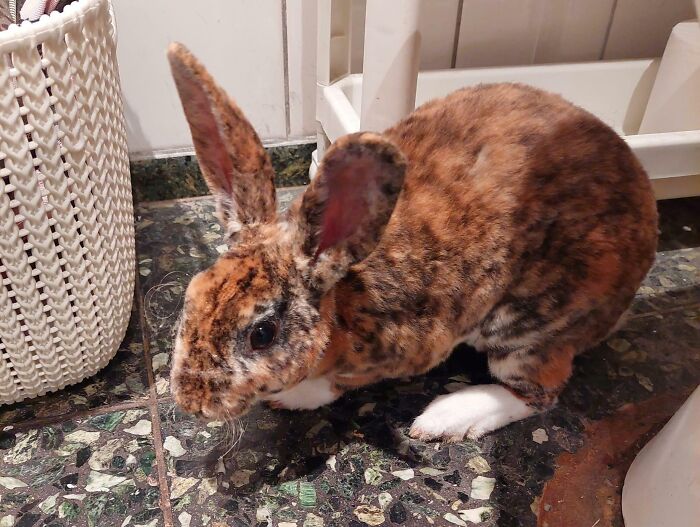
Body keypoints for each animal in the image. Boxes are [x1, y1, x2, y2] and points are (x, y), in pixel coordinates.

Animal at [166, 42, 657, 441]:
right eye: (193, 294)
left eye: (262, 334)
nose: (190, 401)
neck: (343, 298)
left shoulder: (406, 349)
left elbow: (335, 384)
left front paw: (295, 396)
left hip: (526, 329)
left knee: (541, 393)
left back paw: (446, 418)